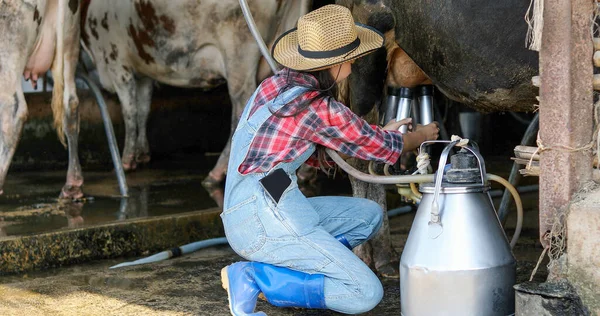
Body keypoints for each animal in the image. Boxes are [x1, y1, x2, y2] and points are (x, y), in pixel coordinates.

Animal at [78, 0, 312, 191]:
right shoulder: (143, 71)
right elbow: (143, 108)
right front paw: (142, 153)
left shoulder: (116, 62)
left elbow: (129, 111)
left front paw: (126, 160)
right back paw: (306, 171)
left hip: (239, 52)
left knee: (241, 107)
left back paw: (216, 173)